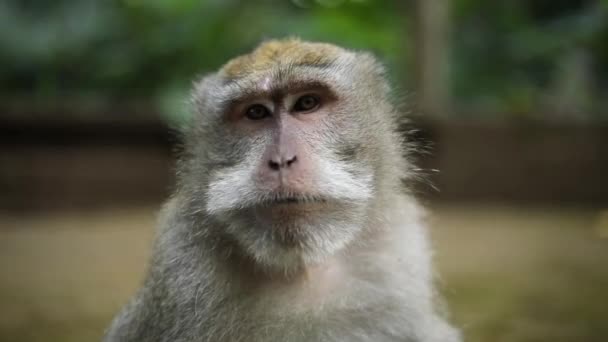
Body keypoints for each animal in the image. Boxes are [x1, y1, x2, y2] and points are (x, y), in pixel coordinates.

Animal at [103, 38, 460, 340]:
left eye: (307, 103)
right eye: (256, 112)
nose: (281, 160)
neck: (302, 268)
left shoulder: (401, 257)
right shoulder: (180, 267)